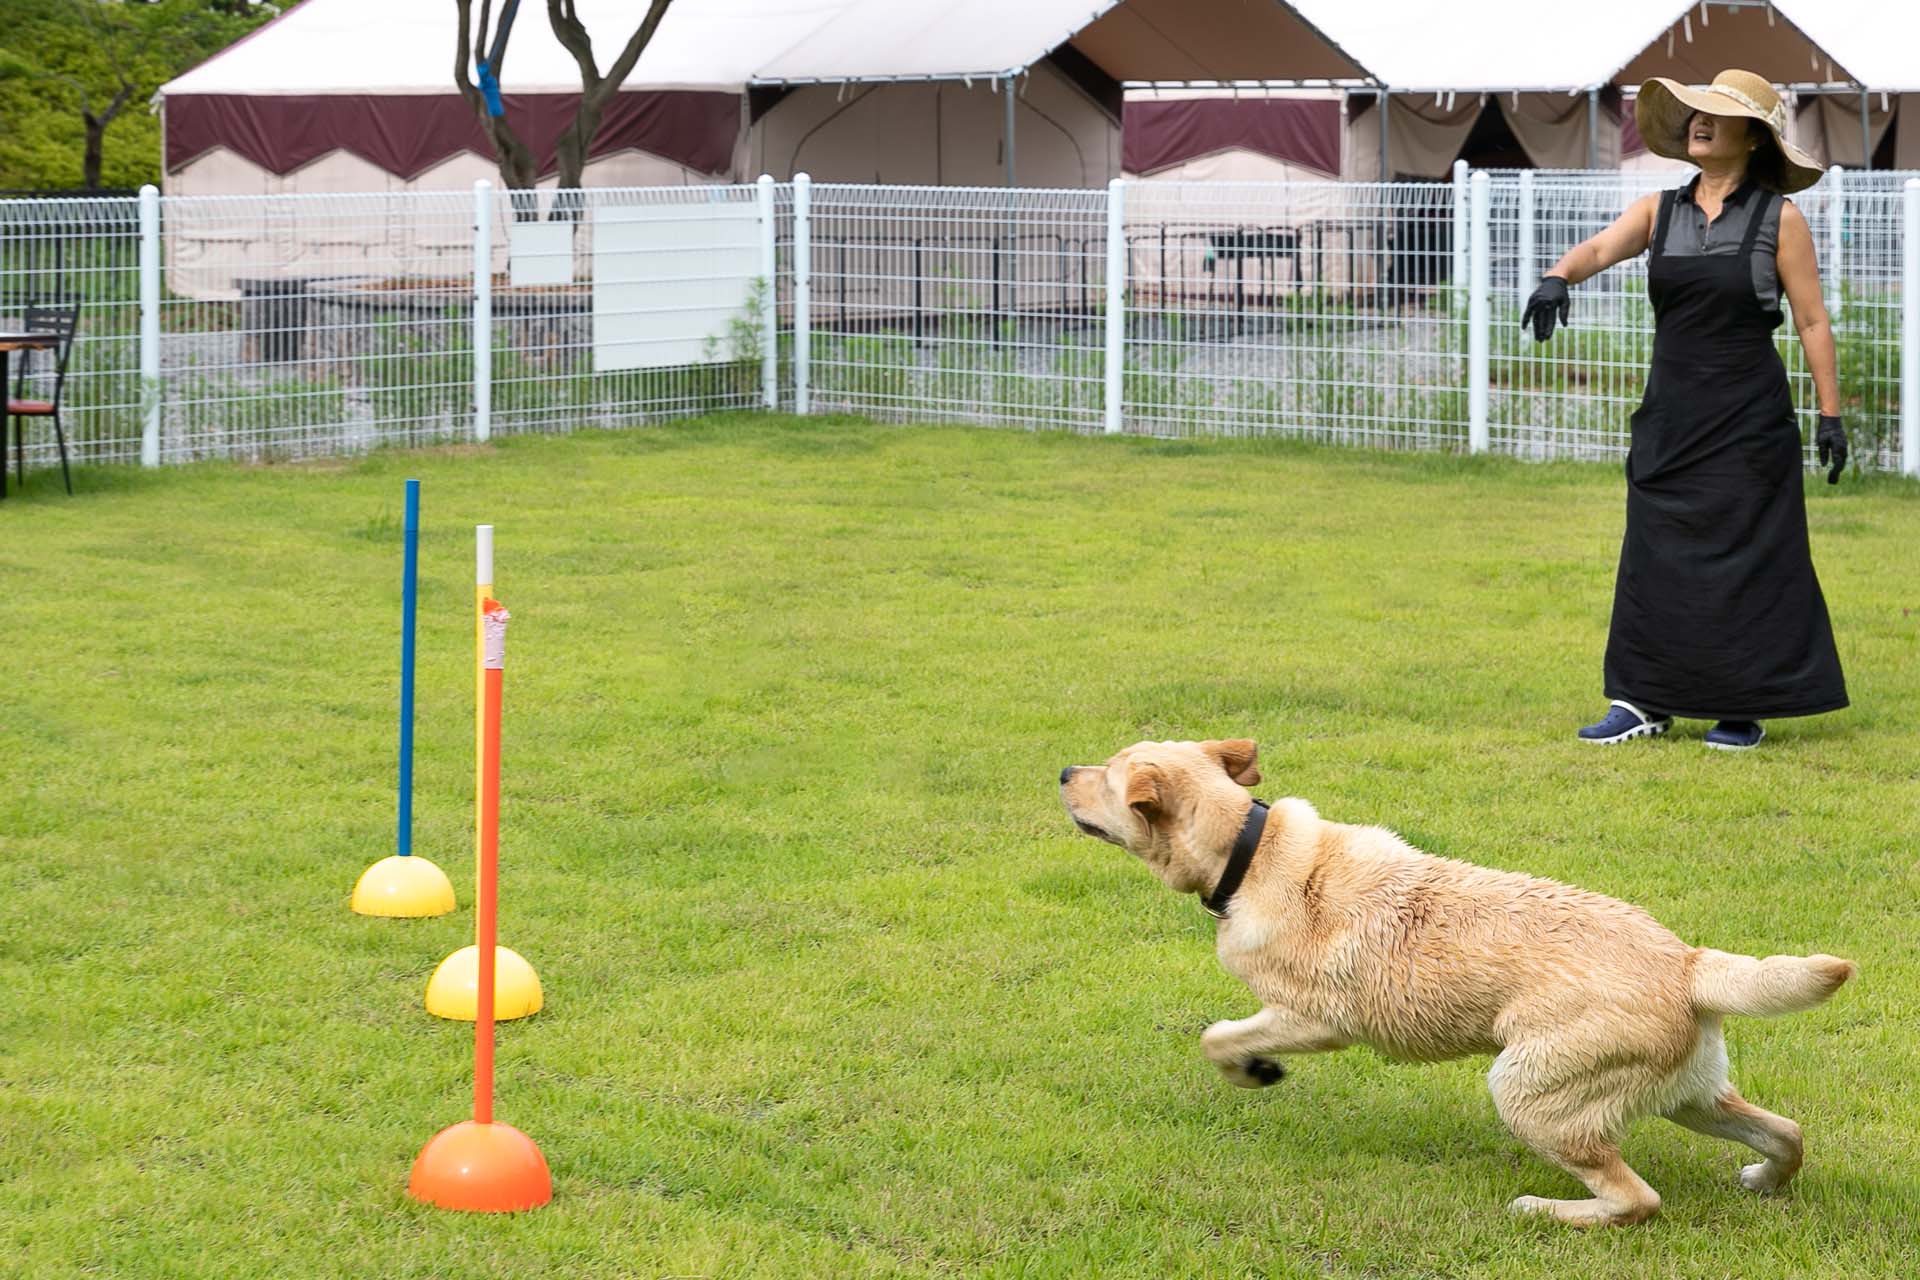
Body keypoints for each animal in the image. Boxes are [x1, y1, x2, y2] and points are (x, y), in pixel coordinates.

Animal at [1059, 740, 1850, 1228]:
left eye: (1109, 773)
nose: (1064, 770)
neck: (1248, 851)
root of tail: (1688, 962)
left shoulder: (1315, 1018)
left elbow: (1216, 1037)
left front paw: (1253, 1070)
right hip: (1685, 1093)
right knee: (1787, 1133)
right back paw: (1764, 1182)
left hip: (1530, 1093)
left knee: (1639, 1199)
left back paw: (1547, 1211)